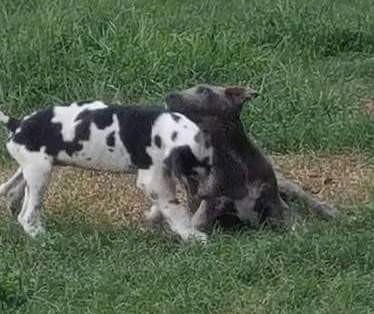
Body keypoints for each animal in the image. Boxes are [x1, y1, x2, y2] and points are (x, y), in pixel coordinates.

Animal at [0, 102, 212, 242]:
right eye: (195, 172)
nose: (205, 195)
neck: (164, 130)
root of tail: (16, 125)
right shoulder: (153, 180)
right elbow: (174, 207)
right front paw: (191, 234)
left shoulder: (162, 177)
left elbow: (164, 205)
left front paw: (153, 216)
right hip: (40, 174)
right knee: (27, 216)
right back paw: (42, 237)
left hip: (34, 169)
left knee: (10, 189)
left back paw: (13, 203)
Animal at [164, 84, 338, 229]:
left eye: (203, 90)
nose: (168, 96)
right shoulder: (210, 207)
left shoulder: (275, 204)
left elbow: (294, 223)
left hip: (286, 185)